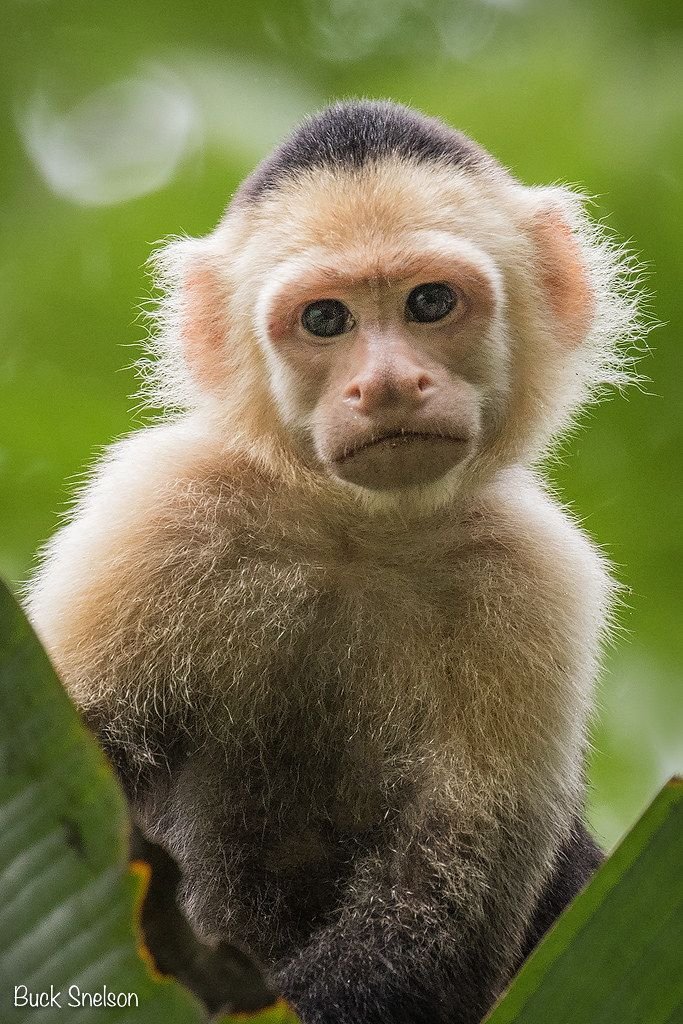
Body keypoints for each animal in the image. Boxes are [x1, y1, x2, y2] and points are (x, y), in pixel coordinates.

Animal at [25, 100, 641, 1024]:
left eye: (429, 302)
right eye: (325, 320)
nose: (385, 386)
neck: (357, 534)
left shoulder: (535, 571)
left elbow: (443, 893)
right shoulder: (162, 506)